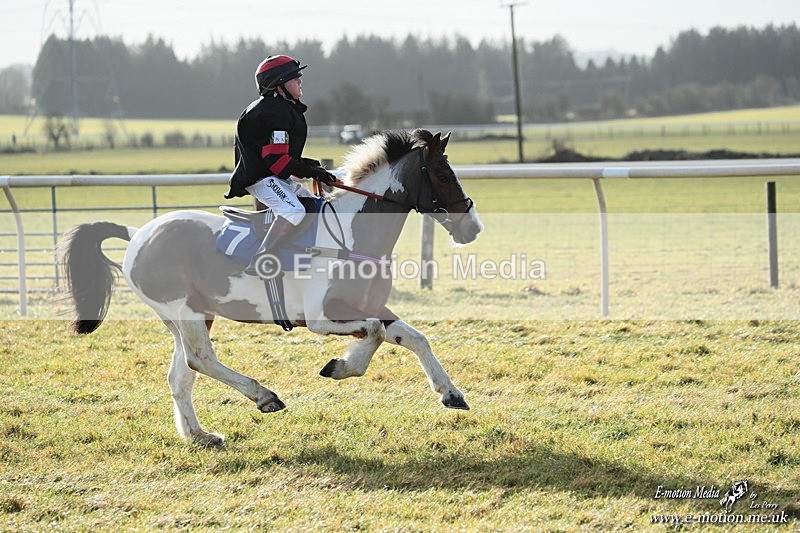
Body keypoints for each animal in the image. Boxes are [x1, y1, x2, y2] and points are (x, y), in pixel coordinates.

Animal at [60, 130, 484, 446]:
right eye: (443, 174)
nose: (473, 227)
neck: (350, 235)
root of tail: (137, 233)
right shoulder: (322, 318)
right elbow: (376, 333)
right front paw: (342, 366)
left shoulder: (372, 305)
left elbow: (412, 337)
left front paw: (450, 393)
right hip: (186, 311)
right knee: (201, 359)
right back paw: (264, 397)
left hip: (189, 317)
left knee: (181, 375)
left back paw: (200, 435)